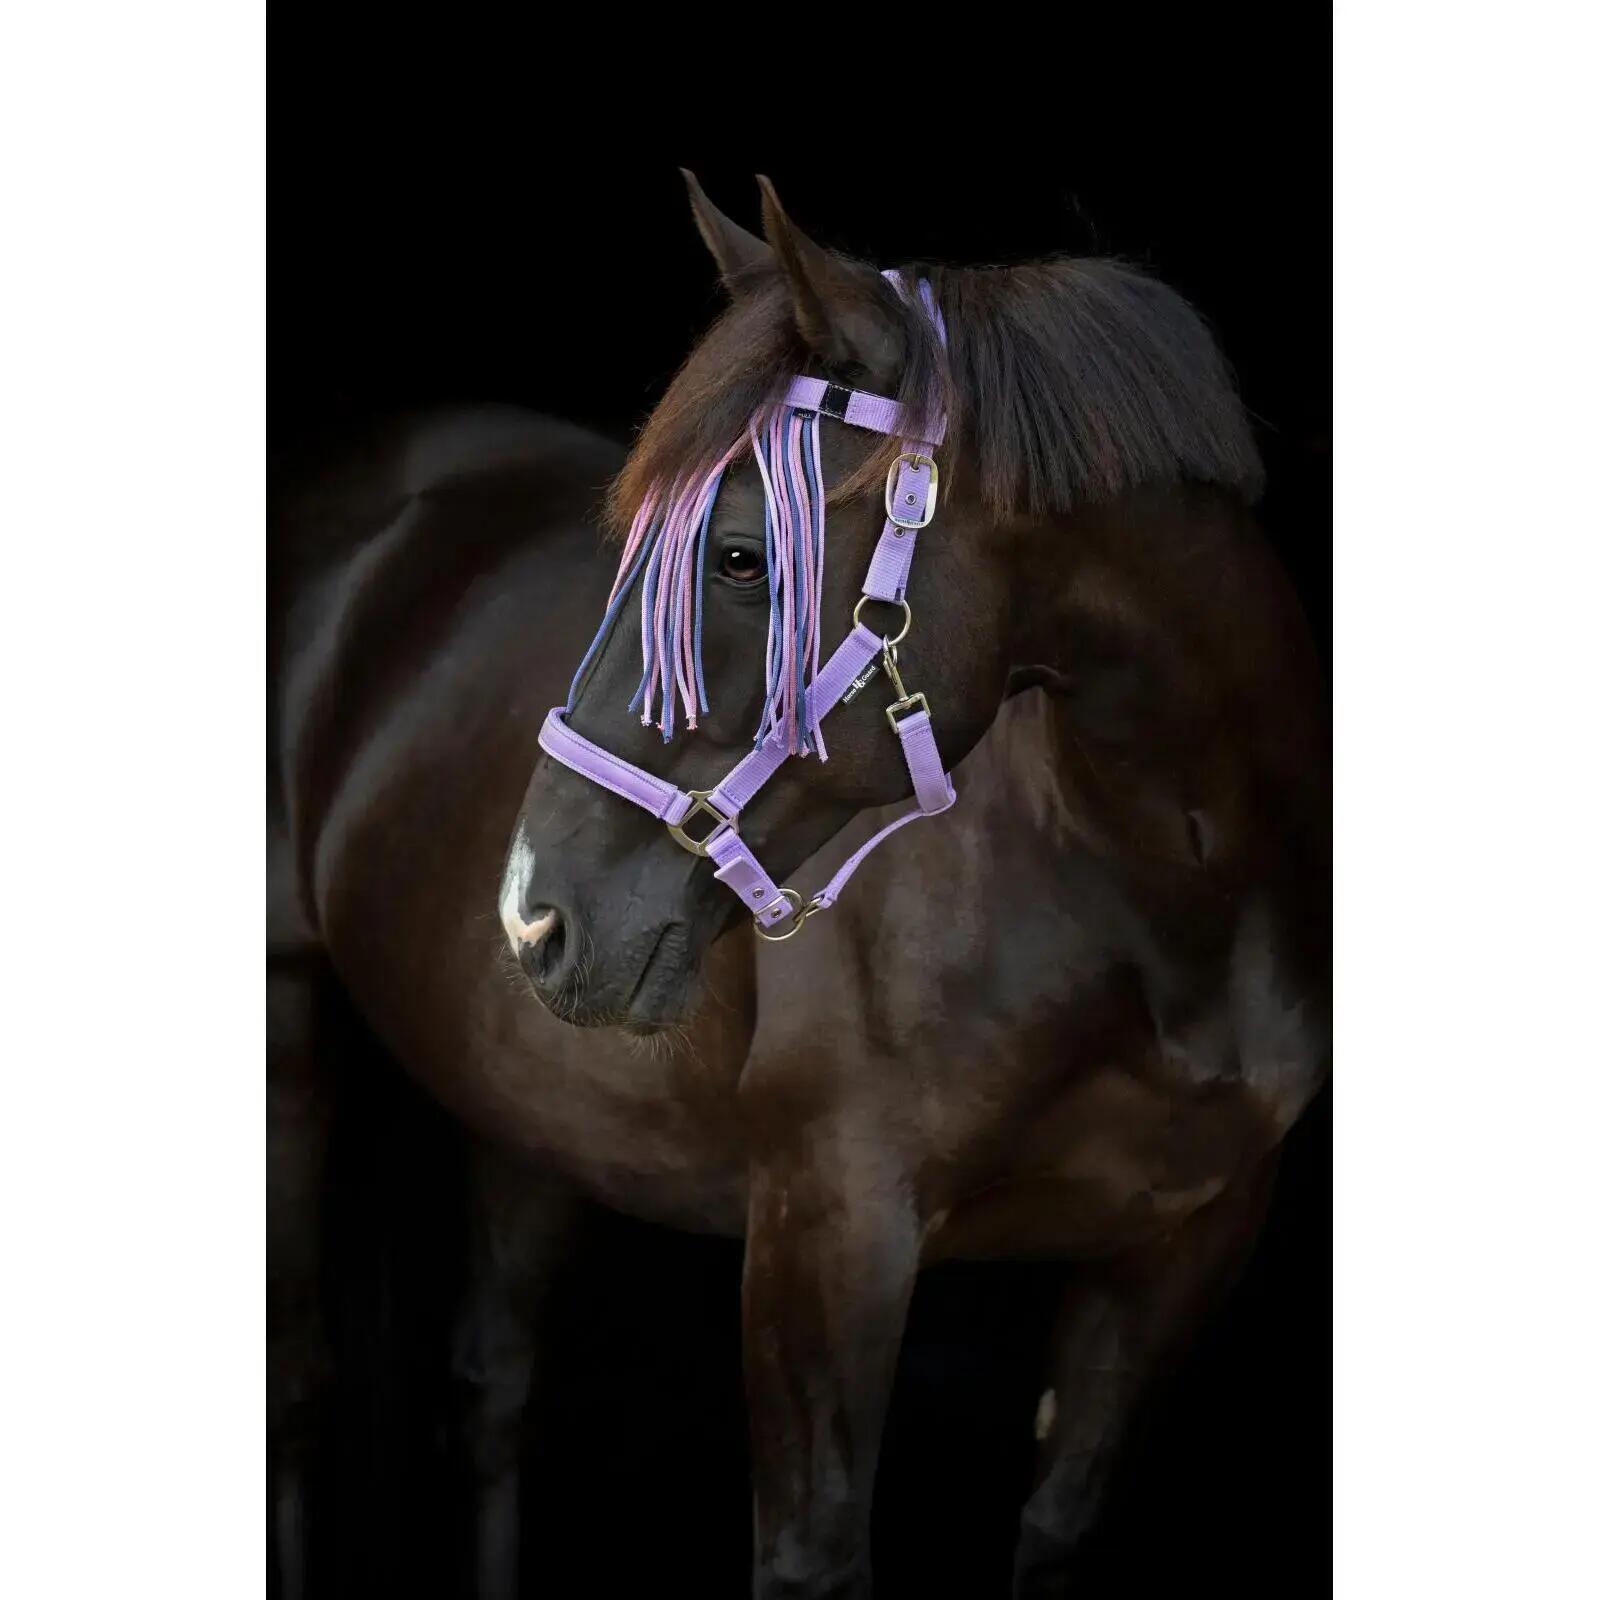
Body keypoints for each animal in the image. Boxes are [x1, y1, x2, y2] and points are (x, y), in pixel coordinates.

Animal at [270, 174, 1327, 1598]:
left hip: (530, 1103)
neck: (1165, 901)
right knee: (300, 1389)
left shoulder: (1179, 1248)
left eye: (735, 555)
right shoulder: (828, 1238)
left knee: (490, 1391)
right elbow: (813, 1556)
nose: (532, 914)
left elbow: (1058, 1525)